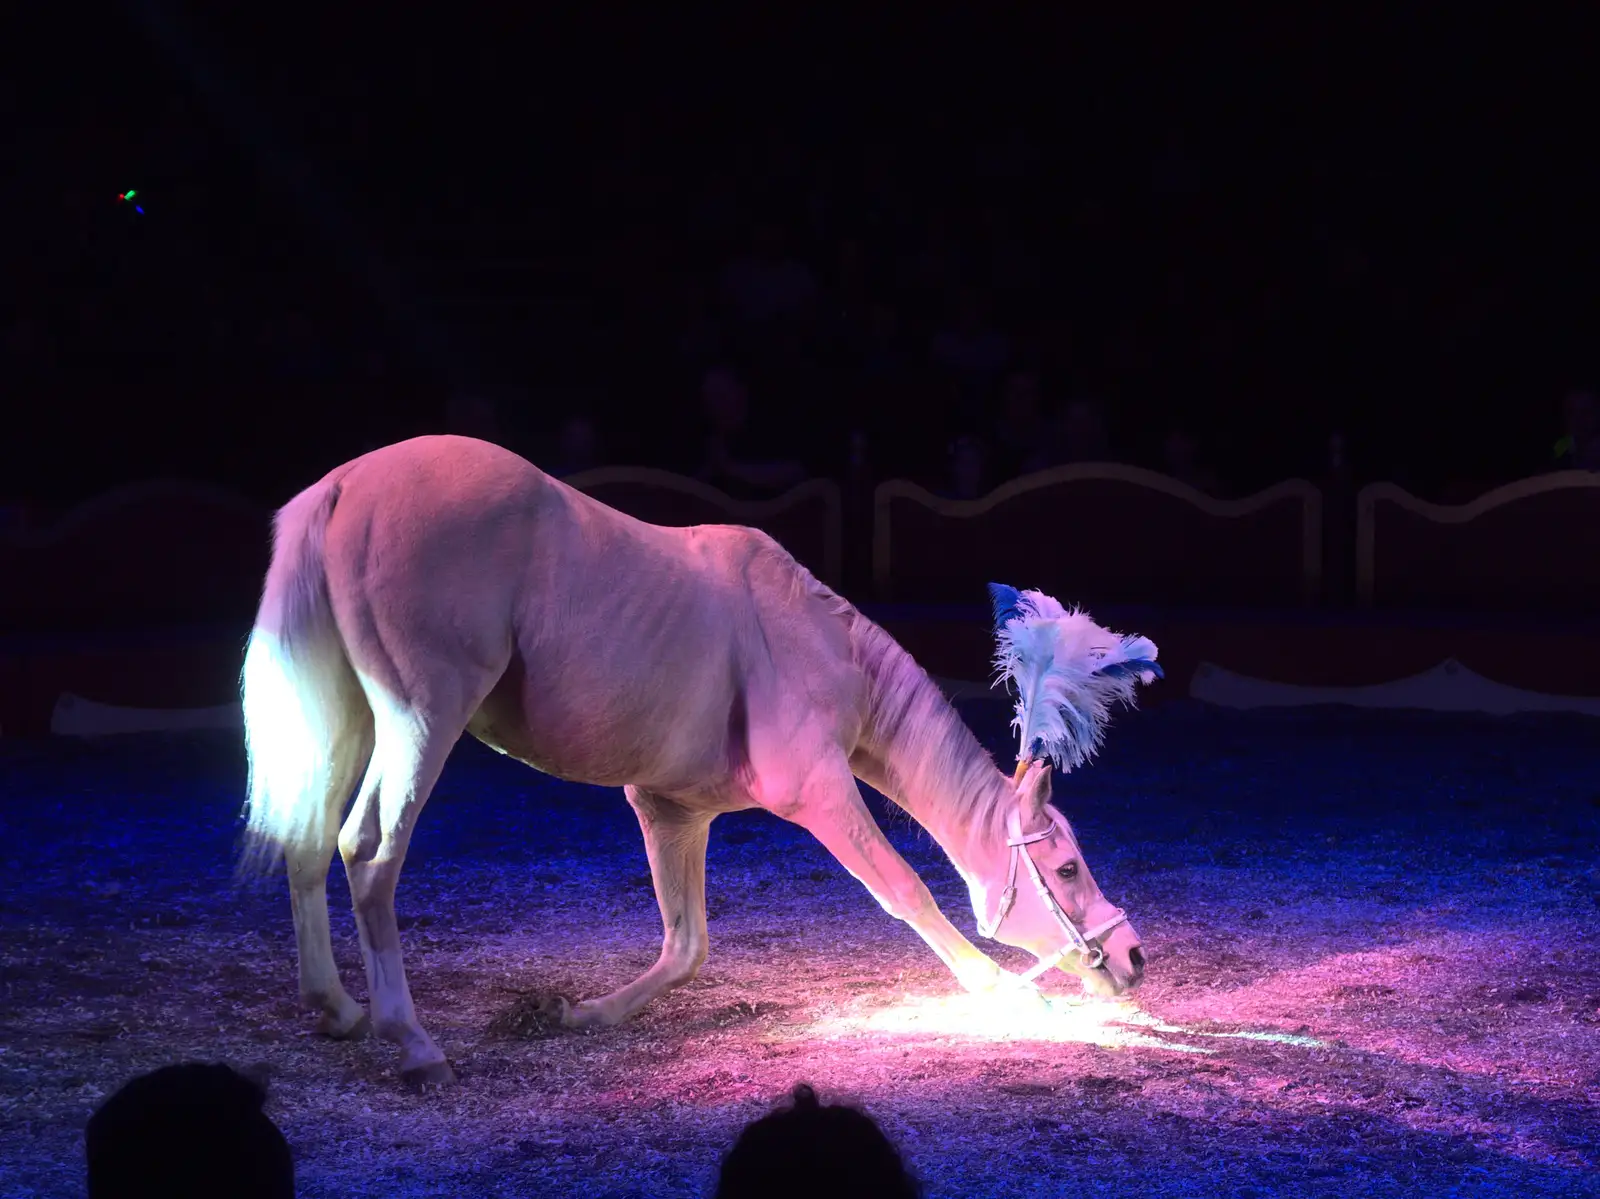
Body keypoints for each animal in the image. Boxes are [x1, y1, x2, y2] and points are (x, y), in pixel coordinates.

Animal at [236, 438, 1145, 1082]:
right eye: (1066, 868)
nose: (1133, 955)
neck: (811, 637)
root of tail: (346, 485)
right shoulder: (821, 792)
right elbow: (904, 888)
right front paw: (999, 990)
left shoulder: (674, 811)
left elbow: (686, 943)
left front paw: (588, 1015)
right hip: (420, 719)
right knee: (368, 852)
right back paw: (413, 1040)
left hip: (348, 720)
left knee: (308, 844)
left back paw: (337, 1007)